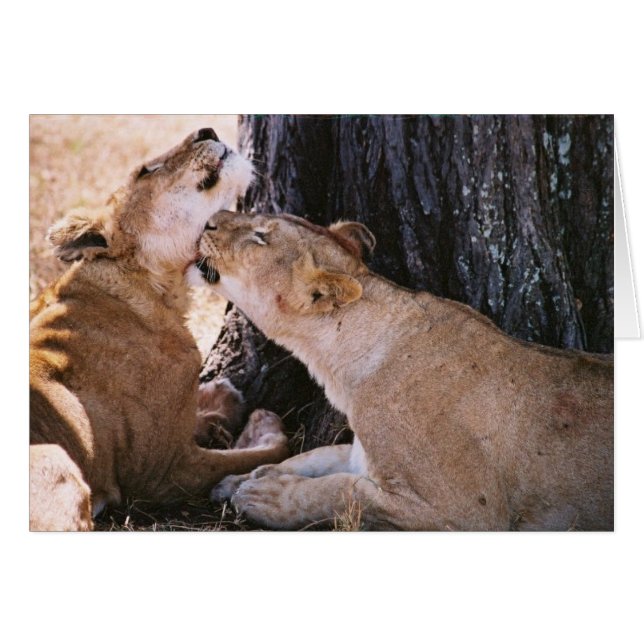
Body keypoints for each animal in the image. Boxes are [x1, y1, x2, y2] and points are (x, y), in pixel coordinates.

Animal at [29, 129, 289, 531]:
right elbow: (258, 455)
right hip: (58, 459)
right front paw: (263, 427)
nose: (207, 132)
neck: (159, 291)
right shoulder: (163, 473)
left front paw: (221, 402)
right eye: (146, 171)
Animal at [194, 210, 614, 531]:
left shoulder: (464, 512)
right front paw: (240, 479)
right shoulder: (360, 453)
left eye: (261, 236)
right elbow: (313, 457)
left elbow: (343, 491)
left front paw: (265, 496)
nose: (209, 220)